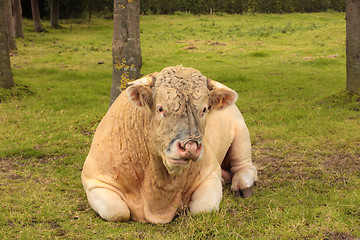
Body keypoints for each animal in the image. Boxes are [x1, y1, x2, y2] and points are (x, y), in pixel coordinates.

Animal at [81, 65, 256, 223]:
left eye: (204, 109)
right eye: (160, 109)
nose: (190, 146)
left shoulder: (210, 173)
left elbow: (203, 208)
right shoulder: (94, 180)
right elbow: (117, 212)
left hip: (242, 134)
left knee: (245, 166)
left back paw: (242, 185)